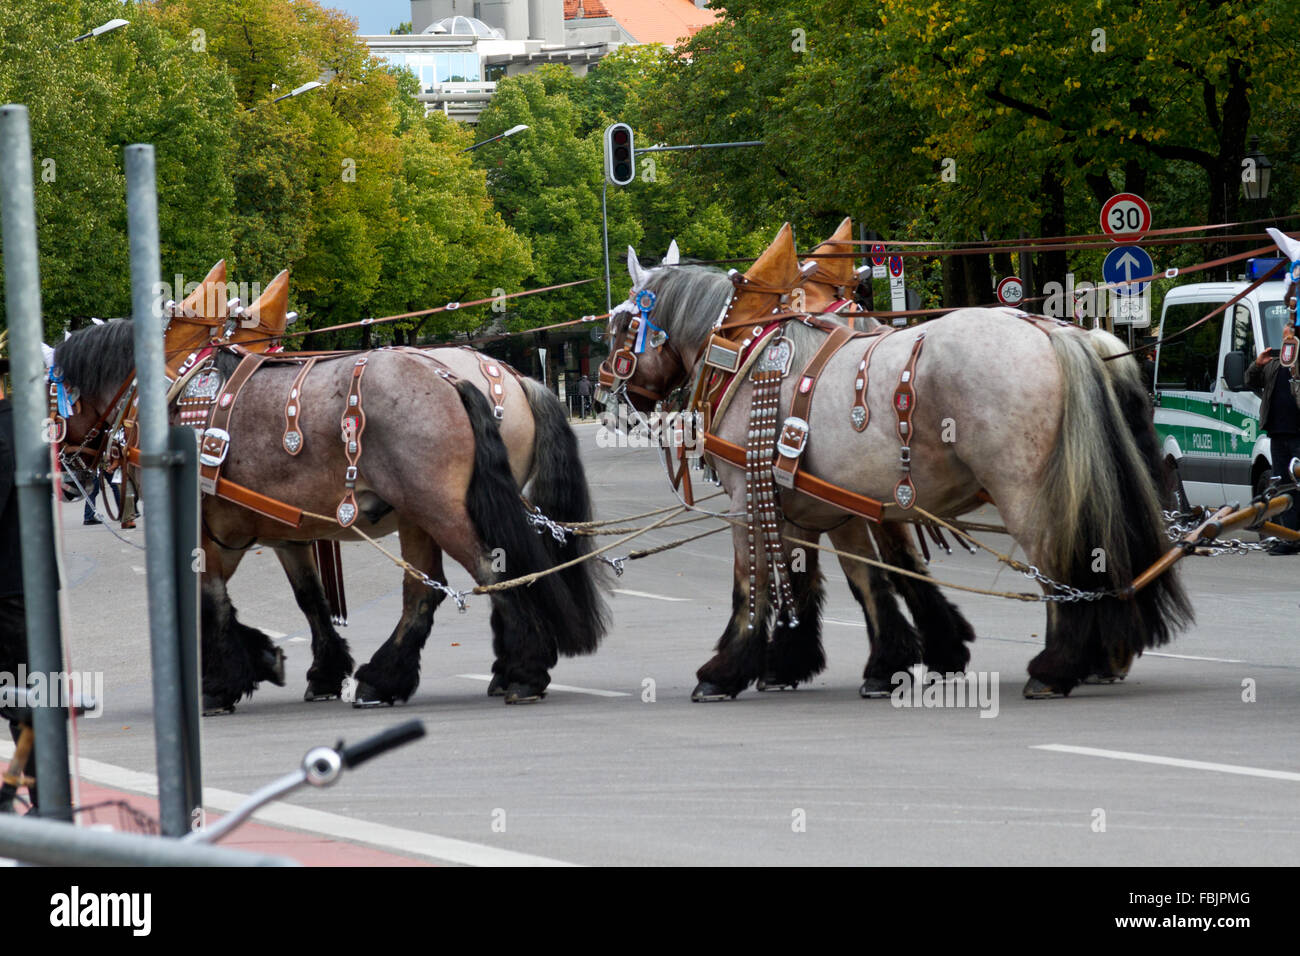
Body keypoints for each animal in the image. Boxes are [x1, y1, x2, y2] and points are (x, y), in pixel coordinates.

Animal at [53, 321, 611, 712]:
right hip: (422, 514)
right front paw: (304, 666)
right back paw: (391, 678)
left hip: (440, 509)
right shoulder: (276, 532)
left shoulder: (208, 529)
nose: (63, 474)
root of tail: (451, 377)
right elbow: (310, 600)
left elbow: (209, 600)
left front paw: (221, 680)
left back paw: (521, 671)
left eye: (53, 398)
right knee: (426, 591)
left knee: (491, 572)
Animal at [598, 227, 1190, 697]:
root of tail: (1050, 330)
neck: (743, 350)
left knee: (1058, 561)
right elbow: (864, 578)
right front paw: (872, 661)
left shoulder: (752, 499)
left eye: (618, 327)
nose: (609, 400)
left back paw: (1057, 666)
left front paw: (725, 671)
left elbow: (755, 583)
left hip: (1026, 490)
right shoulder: (824, 505)